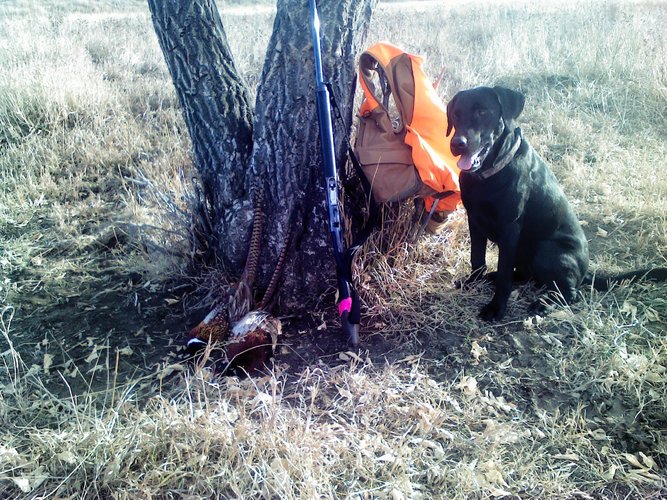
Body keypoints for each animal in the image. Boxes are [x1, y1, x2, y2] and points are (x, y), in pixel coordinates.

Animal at [446, 86, 667, 321]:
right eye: (456, 114)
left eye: (482, 112)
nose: (457, 143)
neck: (490, 174)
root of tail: (585, 273)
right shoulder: (474, 220)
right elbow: (477, 259)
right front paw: (473, 282)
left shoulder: (509, 227)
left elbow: (505, 272)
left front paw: (496, 308)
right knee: (526, 275)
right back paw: (493, 278)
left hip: (545, 250)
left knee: (570, 292)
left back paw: (544, 304)